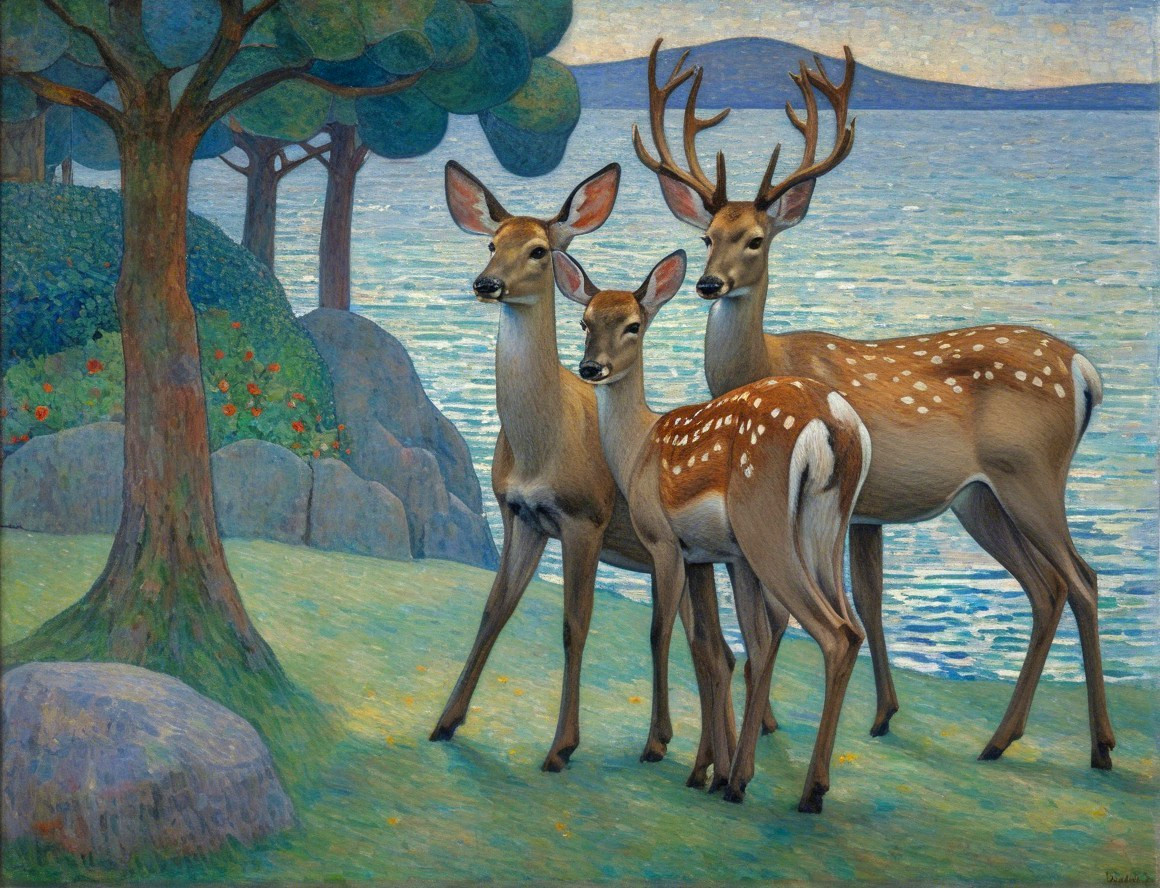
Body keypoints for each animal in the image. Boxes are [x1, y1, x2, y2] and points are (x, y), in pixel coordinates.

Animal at [430, 160, 739, 778]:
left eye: (539, 250)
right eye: (491, 243)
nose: (486, 284)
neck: (541, 445)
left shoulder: (584, 518)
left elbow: (576, 624)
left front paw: (561, 746)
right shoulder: (520, 516)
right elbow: (494, 609)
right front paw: (446, 722)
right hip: (696, 566)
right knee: (718, 651)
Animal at [554, 246, 871, 812]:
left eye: (633, 325)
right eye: (584, 322)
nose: (592, 367)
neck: (638, 449)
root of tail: (833, 421)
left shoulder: (664, 541)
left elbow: (662, 633)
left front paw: (660, 744)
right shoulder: (710, 557)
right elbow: (715, 648)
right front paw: (710, 769)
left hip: (764, 522)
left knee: (832, 633)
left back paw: (804, 791)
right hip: (823, 530)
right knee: (842, 629)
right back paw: (770, 779)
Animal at [634, 39, 1115, 770]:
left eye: (757, 239)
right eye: (708, 235)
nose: (709, 283)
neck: (768, 363)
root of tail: (1083, 370)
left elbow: (822, 603)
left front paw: (778, 727)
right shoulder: (866, 512)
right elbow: (868, 596)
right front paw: (883, 714)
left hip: (1031, 473)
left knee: (1081, 580)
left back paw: (1099, 746)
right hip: (980, 498)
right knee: (1047, 586)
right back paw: (1003, 738)